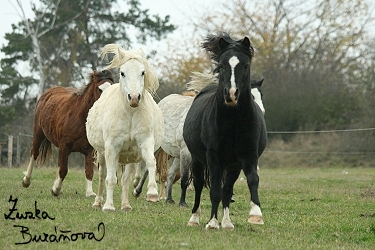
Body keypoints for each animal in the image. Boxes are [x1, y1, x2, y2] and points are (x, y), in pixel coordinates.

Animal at [89, 44, 165, 212]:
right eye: (122, 73)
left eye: (142, 72)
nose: (134, 98)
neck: (130, 113)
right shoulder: (111, 148)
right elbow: (110, 178)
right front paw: (108, 206)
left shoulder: (146, 142)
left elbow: (151, 162)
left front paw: (152, 193)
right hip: (102, 153)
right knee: (102, 175)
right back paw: (98, 202)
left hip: (130, 157)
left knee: (125, 179)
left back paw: (125, 205)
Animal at [183, 33, 268, 230]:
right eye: (221, 66)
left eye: (246, 65)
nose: (231, 94)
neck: (234, 122)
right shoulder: (214, 157)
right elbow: (214, 190)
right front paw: (212, 223)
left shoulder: (248, 156)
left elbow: (252, 180)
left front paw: (255, 215)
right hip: (198, 159)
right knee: (199, 185)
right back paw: (195, 218)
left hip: (232, 166)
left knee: (227, 189)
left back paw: (227, 223)